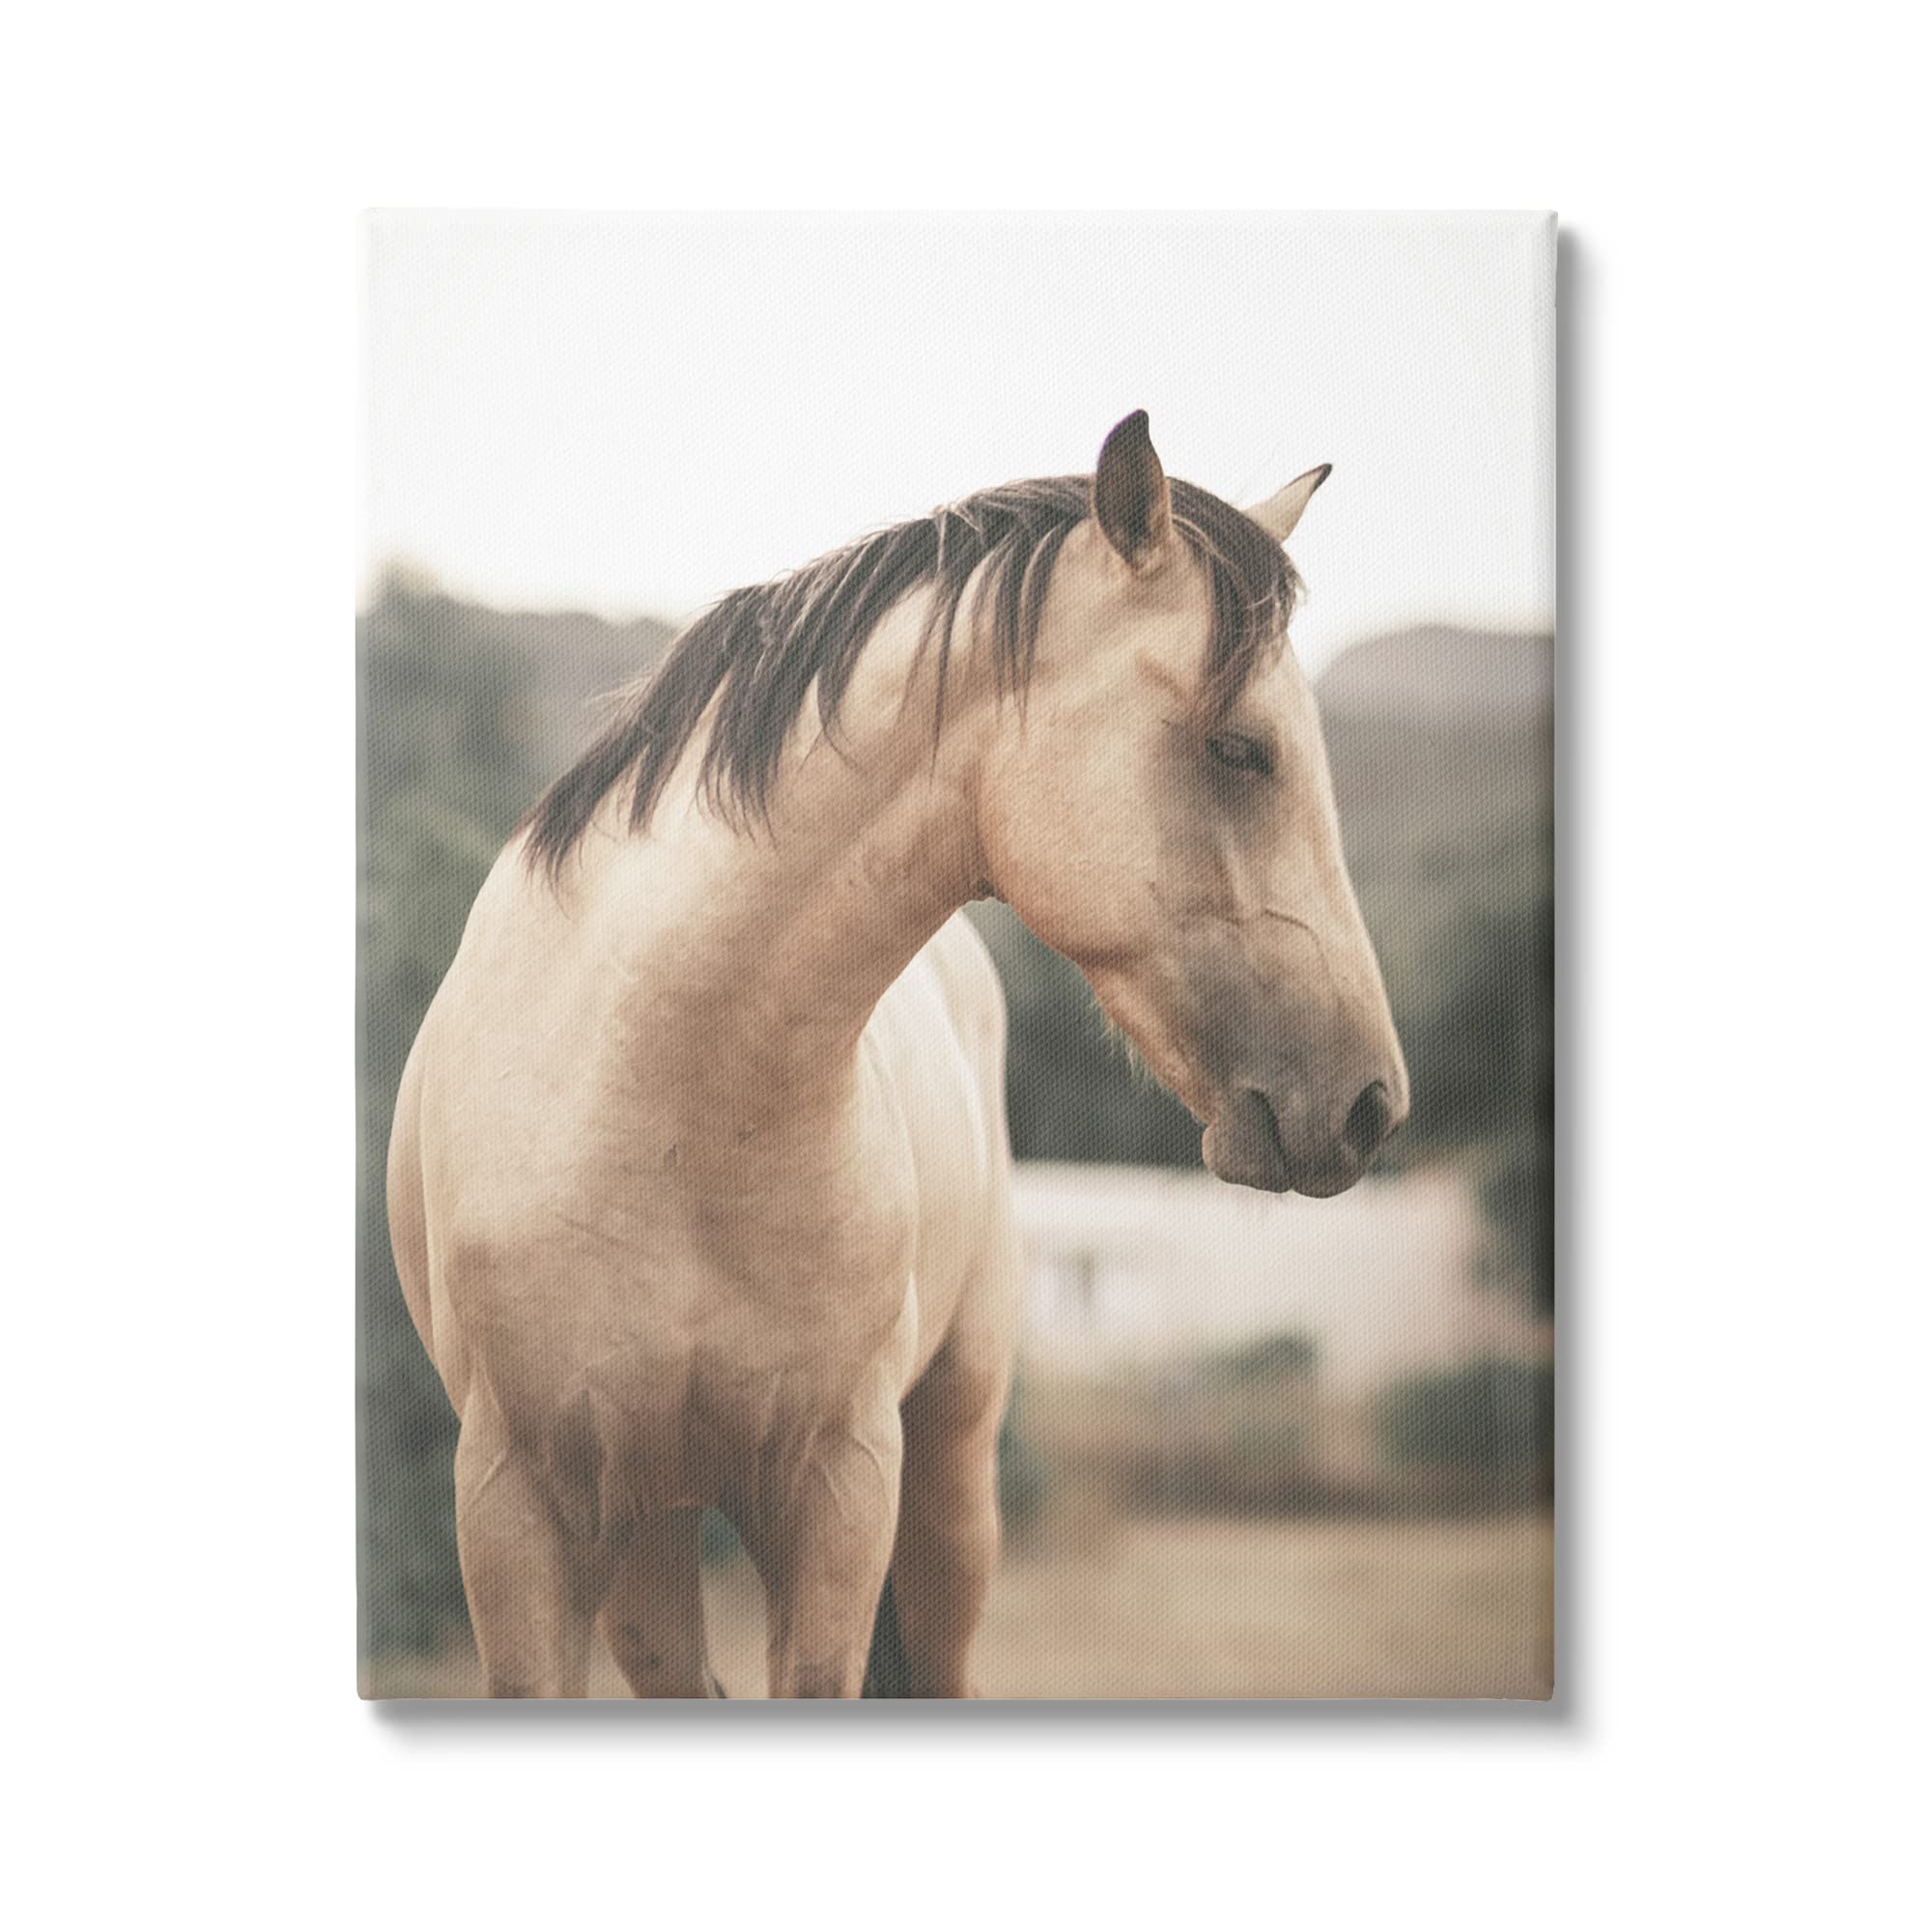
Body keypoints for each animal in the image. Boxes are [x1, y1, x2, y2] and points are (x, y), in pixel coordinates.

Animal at [385, 411, 1408, 1698]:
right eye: (1238, 748)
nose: (1371, 1101)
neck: (657, 1098)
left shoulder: (838, 1490)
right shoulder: (518, 1509)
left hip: (946, 1476)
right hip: (646, 1533)